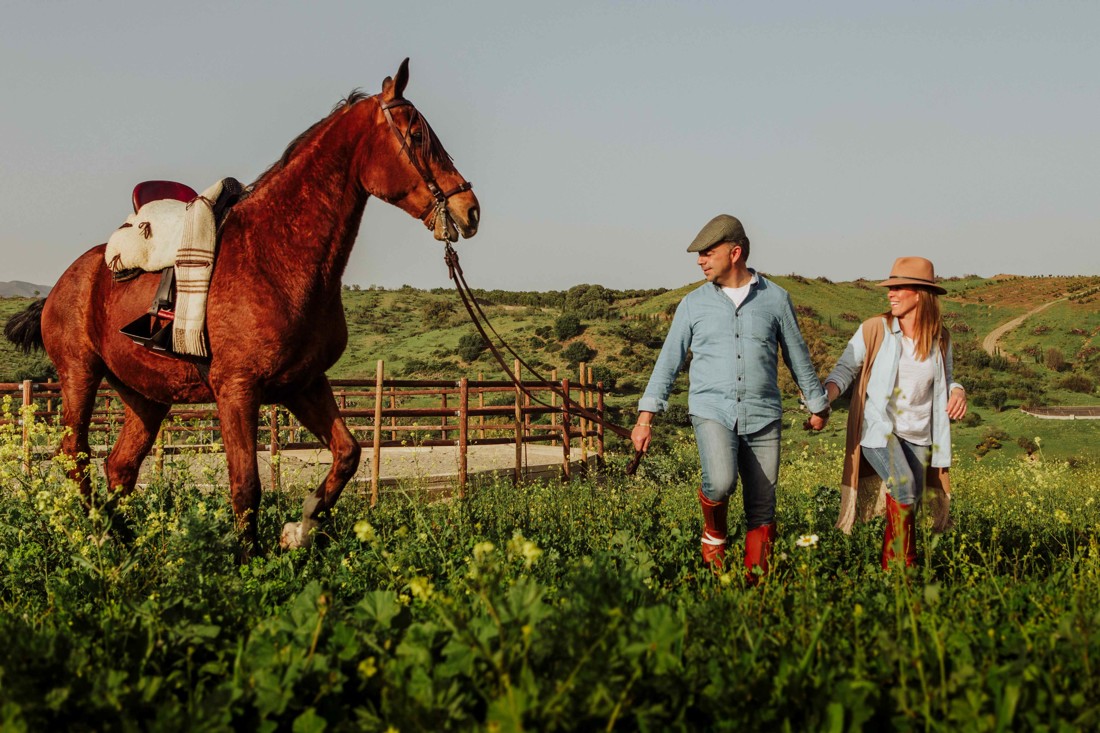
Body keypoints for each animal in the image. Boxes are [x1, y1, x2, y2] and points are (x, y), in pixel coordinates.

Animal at [4, 59, 479, 558]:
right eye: (417, 134)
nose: (470, 210)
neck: (276, 255)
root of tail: (68, 280)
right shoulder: (237, 390)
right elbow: (247, 485)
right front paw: (248, 559)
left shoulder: (303, 383)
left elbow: (347, 454)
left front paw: (299, 529)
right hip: (79, 374)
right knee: (74, 456)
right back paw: (96, 536)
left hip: (144, 395)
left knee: (119, 467)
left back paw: (128, 545)